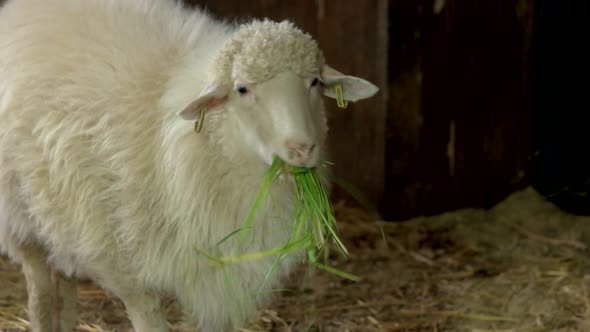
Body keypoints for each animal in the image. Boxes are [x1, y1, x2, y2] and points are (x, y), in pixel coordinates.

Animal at [0, 0, 380, 330]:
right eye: (242, 89)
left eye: (314, 82)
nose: (302, 148)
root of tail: (21, 8)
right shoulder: (129, 272)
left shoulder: (219, 280)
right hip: (22, 222)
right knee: (41, 292)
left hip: (58, 220)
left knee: (64, 285)